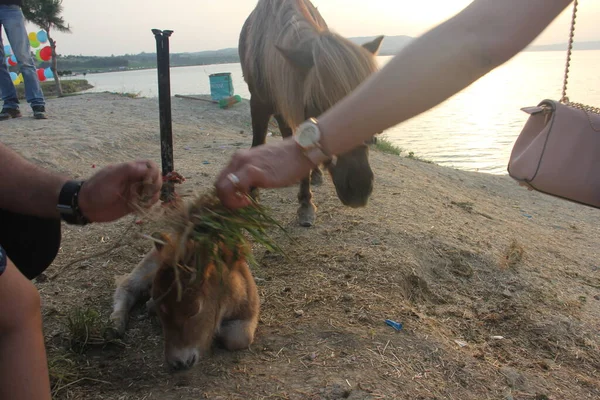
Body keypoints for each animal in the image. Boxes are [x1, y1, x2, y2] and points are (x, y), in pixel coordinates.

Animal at [109, 194, 282, 368]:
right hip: (149, 264)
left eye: (195, 310)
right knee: (127, 286)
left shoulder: (250, 310)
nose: (178, 362)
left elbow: (238, 338)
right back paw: (115, 325)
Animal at [239, 0, 384, 227]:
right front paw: (253, 197)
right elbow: (258, 143)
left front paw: (306, 203)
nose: (359, 188)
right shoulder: (260, 103)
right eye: (316, 103)